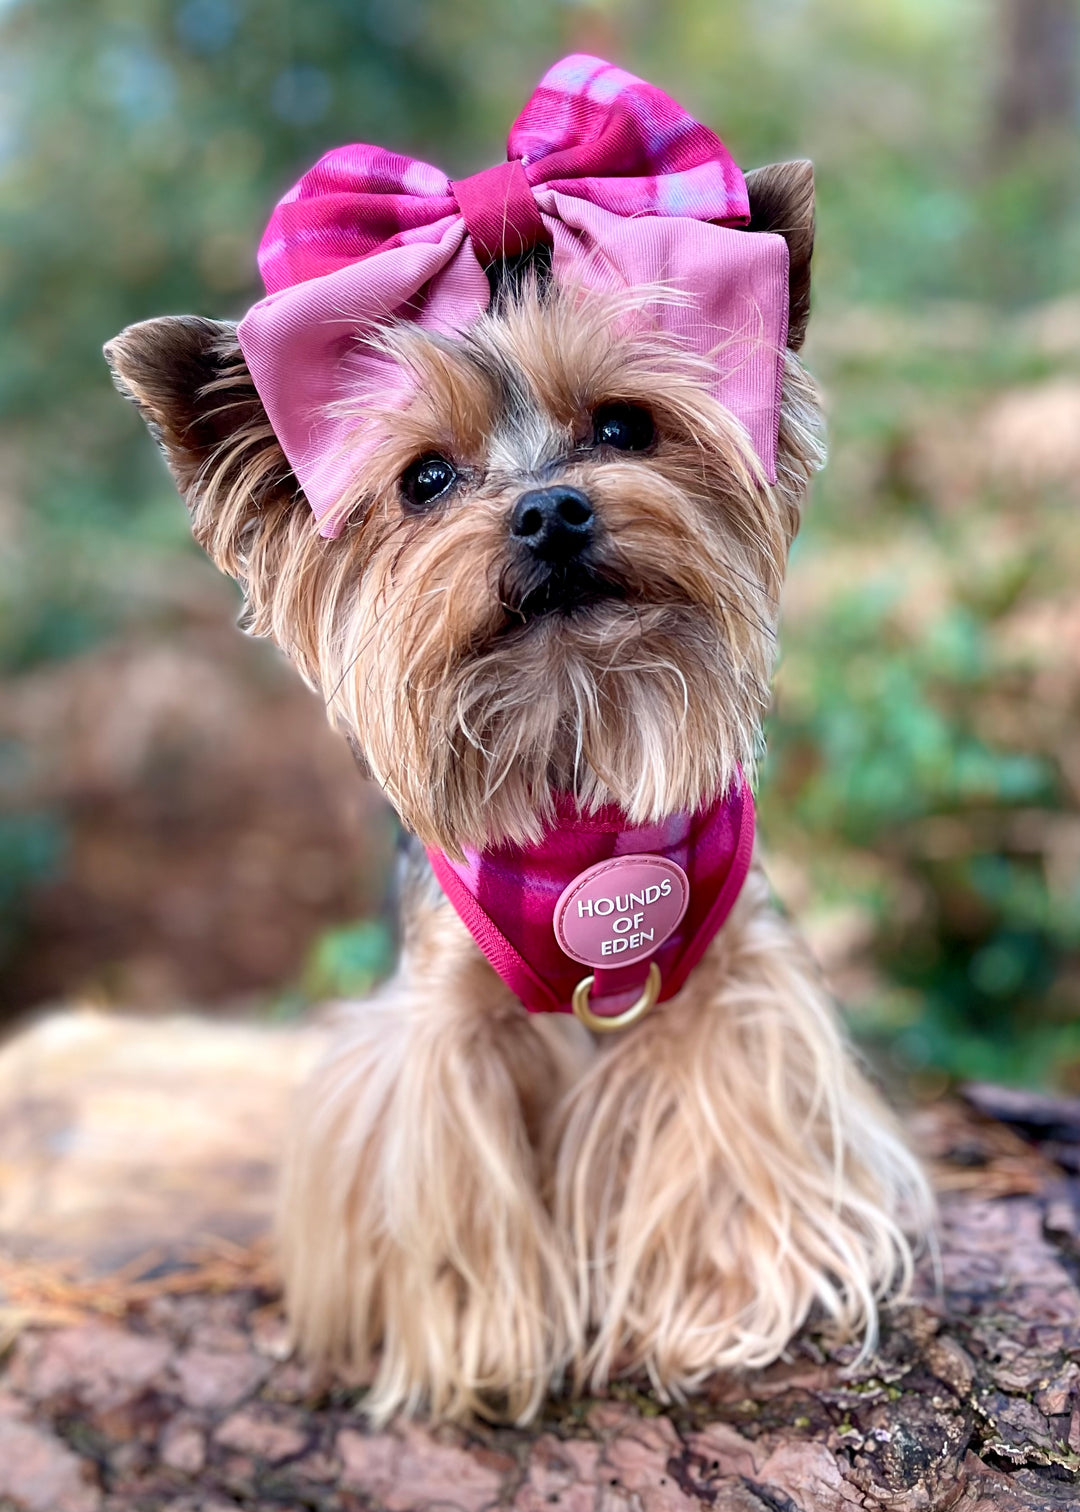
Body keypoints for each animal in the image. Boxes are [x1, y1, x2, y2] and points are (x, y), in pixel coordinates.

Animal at [105, 55, 925, 1427]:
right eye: (426, 480)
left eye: (625, 426)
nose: (548, 510)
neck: (578, 727)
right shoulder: (441, 1023)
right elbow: (447, 1180)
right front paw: (481, 1341)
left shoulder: (734, 979)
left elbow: (726, 1122)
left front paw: (718, 1298)